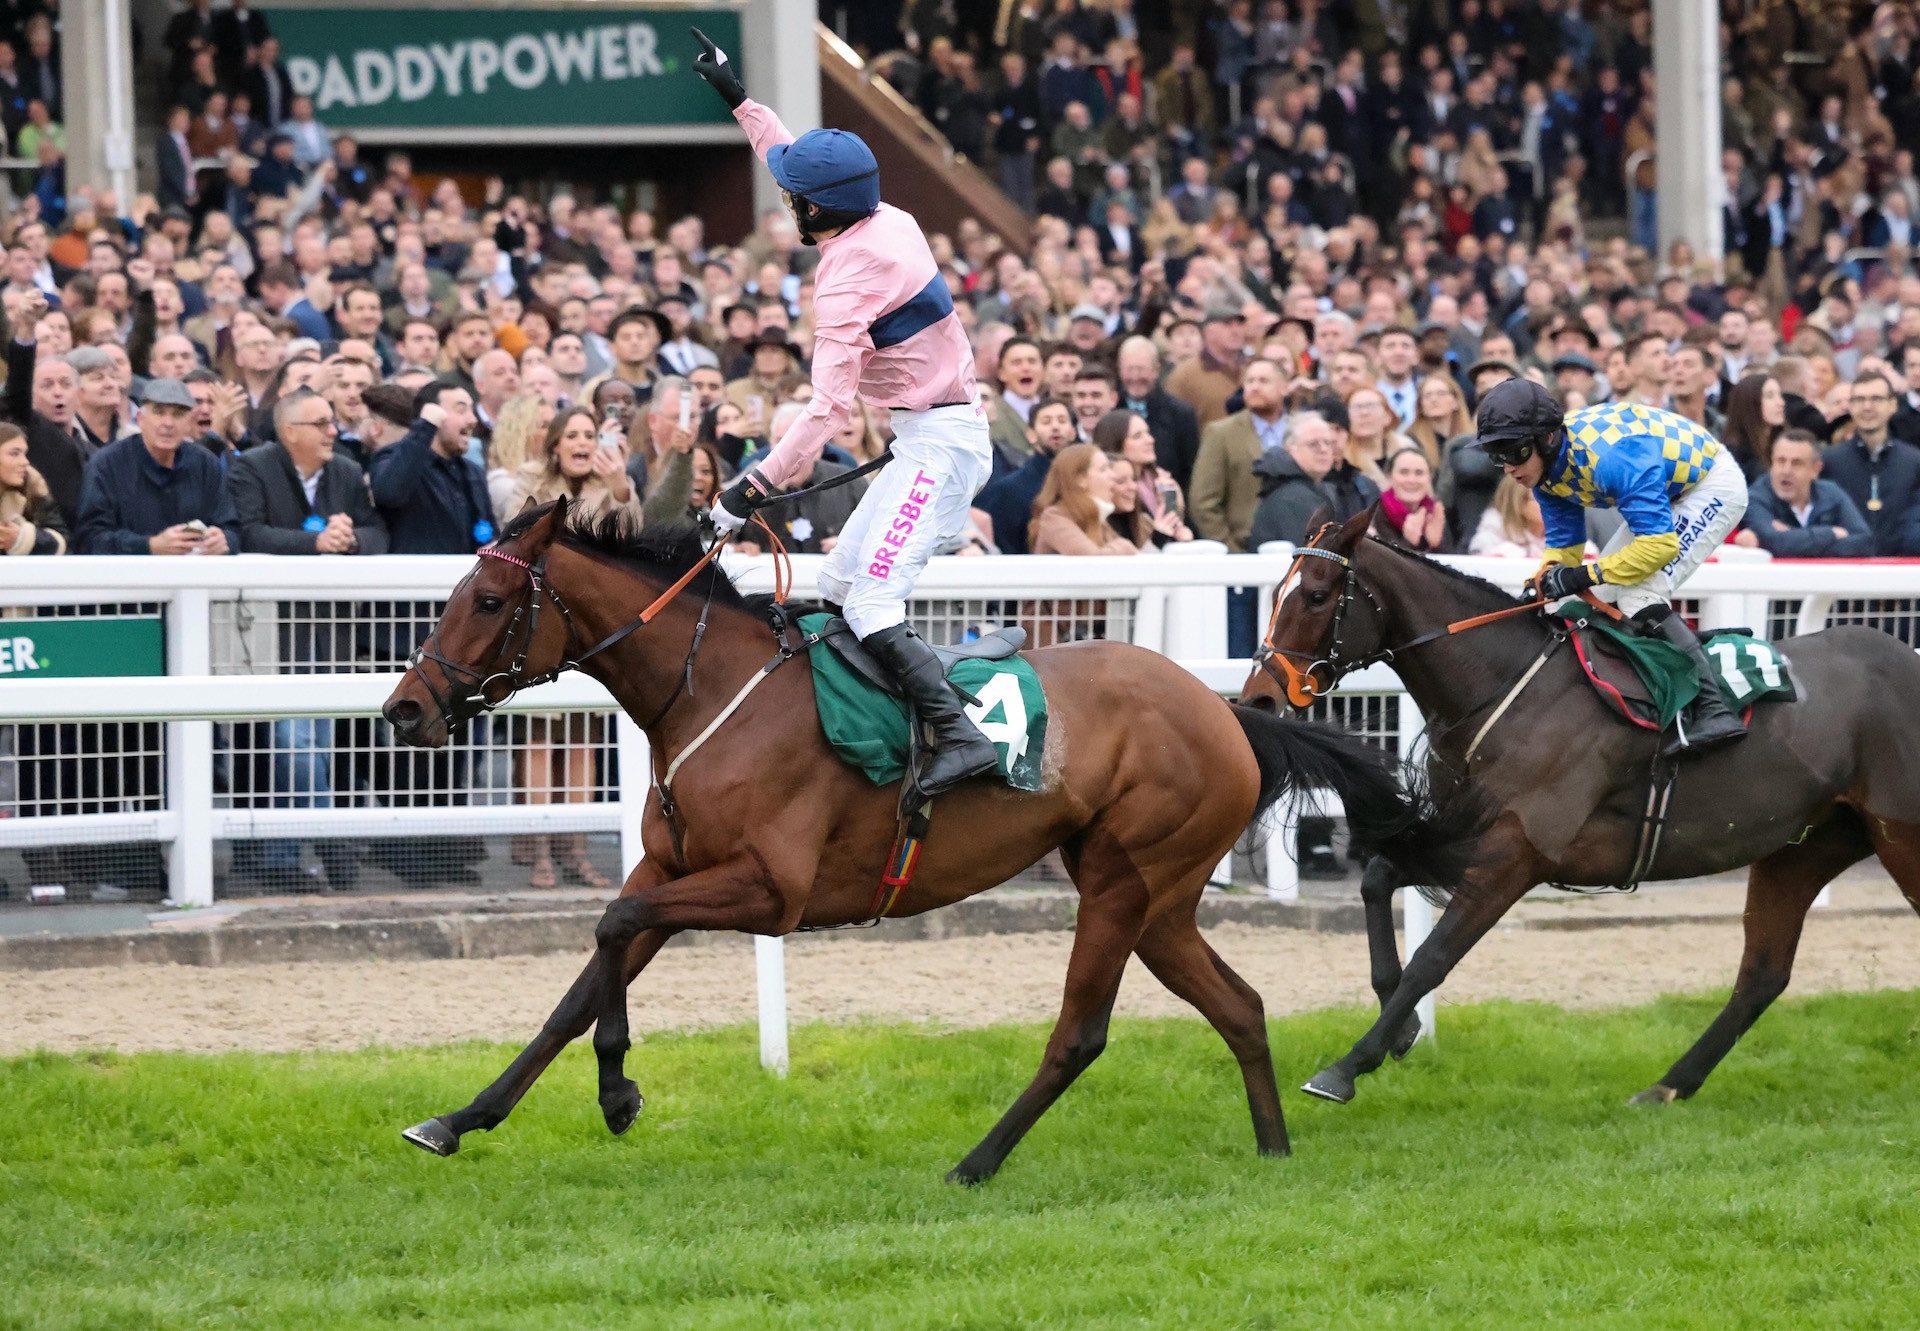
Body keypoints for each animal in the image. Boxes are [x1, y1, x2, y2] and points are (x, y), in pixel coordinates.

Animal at [378, 499, 1482, 1183]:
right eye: (454, 594)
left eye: (487, 600)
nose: (403, 709)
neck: (712, 693)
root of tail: (1225, 711)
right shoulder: (678, 863)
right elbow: (582, 981)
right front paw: (459, 1118)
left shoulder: (769, 890)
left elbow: (614, 924)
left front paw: (618, 1091)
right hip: (1159, 900)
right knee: (1241, 1006)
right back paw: (1274, 1146)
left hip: (1124, 883)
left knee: (1081, 1032)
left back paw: (975, 1161)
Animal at [1236, 507, 1920, 1113]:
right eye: (1275, 595)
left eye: (1317, 595)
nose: (1261, 697)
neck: (1507, 688)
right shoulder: (1466, 836)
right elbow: (1378, 881)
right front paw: (1399, 1032)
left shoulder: (1518, 852)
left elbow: (1434, 958)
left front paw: (1347, 1066)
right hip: (1802, 847)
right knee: (1763, 975)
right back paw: (1667, 1086)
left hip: (1898, 839)